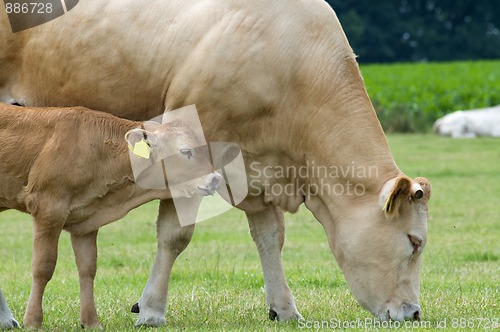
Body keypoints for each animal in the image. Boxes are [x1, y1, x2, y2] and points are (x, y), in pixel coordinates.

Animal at [0, 104, 221, 330]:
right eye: (186, 151)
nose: (215, 179)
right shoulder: (48, 208)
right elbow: (43, 267)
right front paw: (33, 321)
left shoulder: (86, 222)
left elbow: (88, 269)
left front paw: (91, 322)